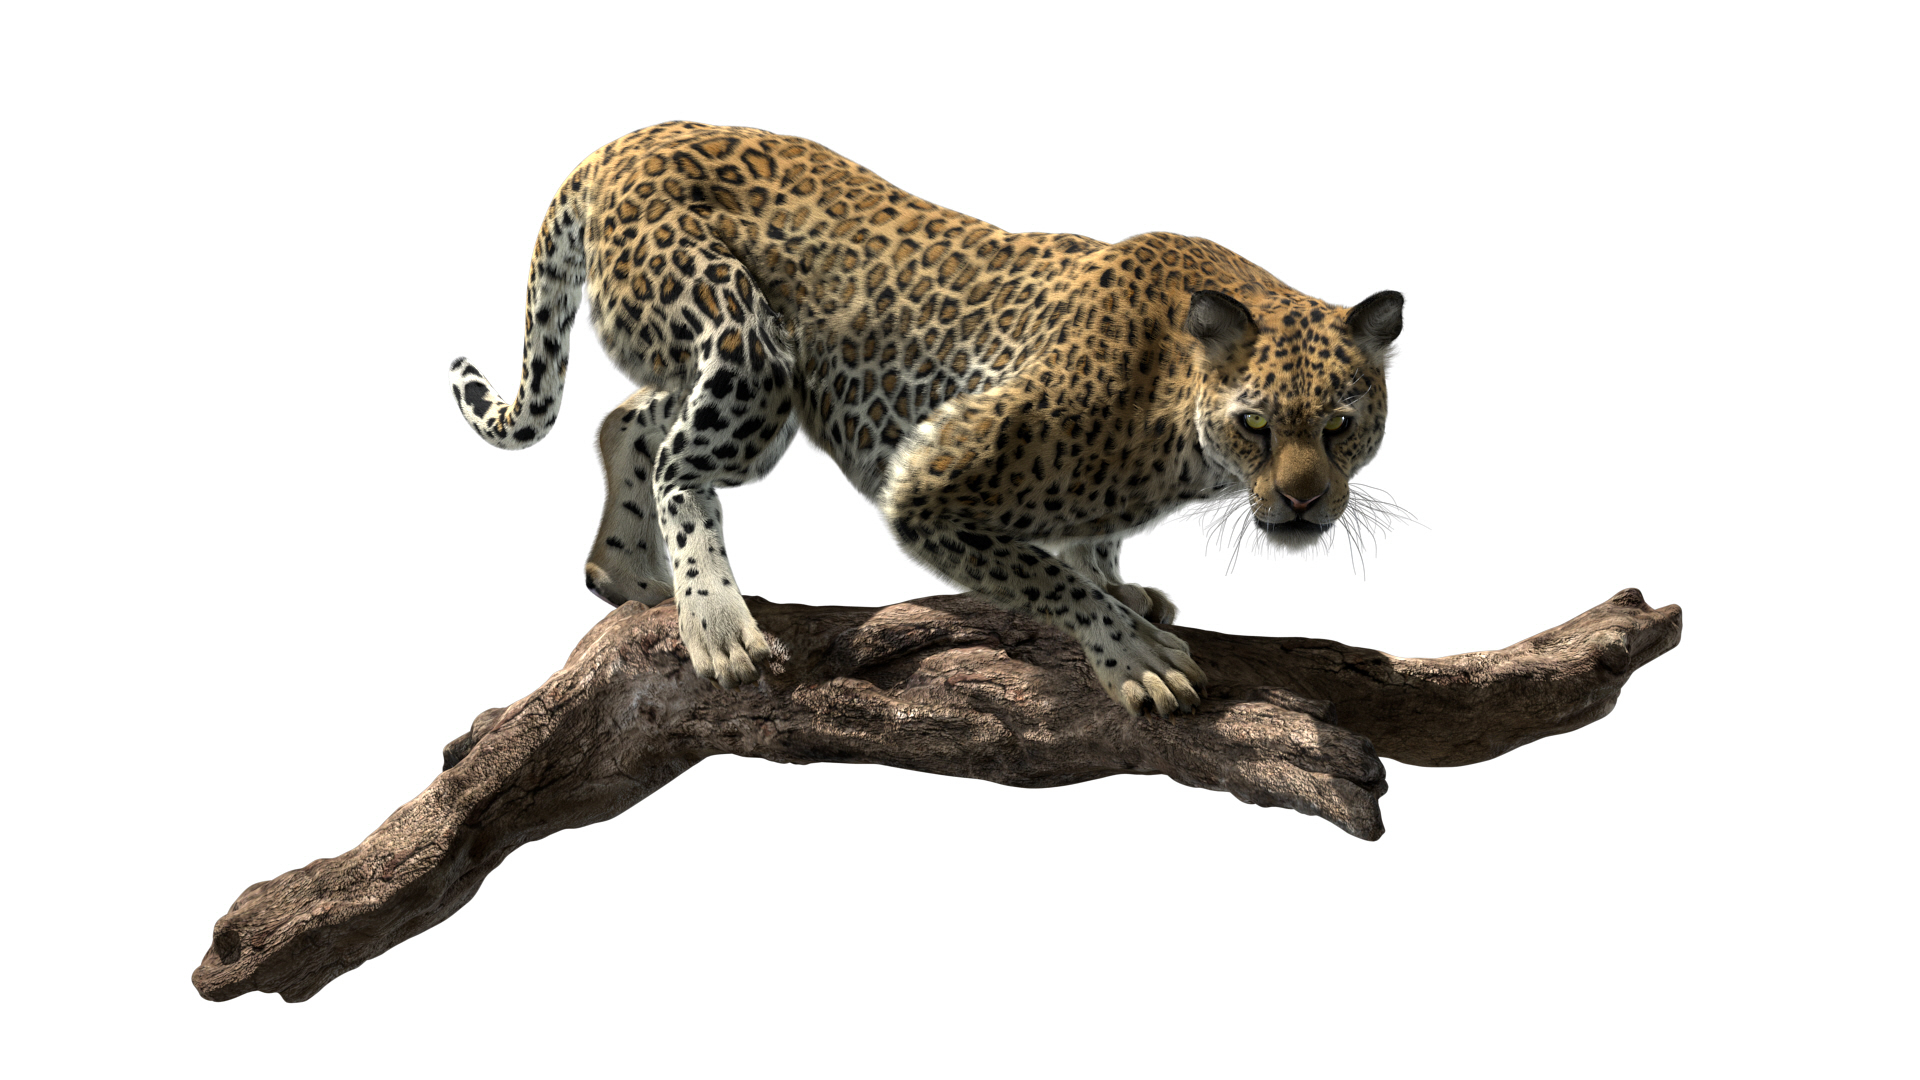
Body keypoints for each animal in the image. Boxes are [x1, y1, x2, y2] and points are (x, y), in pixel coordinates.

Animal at [449, 122, 1403, 717]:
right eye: (1256, 423)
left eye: (1342, 423)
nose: (1306, 503)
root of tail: (620, 142)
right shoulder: (930, 480)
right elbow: (1045, 579)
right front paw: (1133, 655)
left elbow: (1089, 548)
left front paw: (1119, 586)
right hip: (748, 348)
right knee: (679, 464)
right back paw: (716, 624)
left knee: (627, 420)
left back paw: (627, 574)